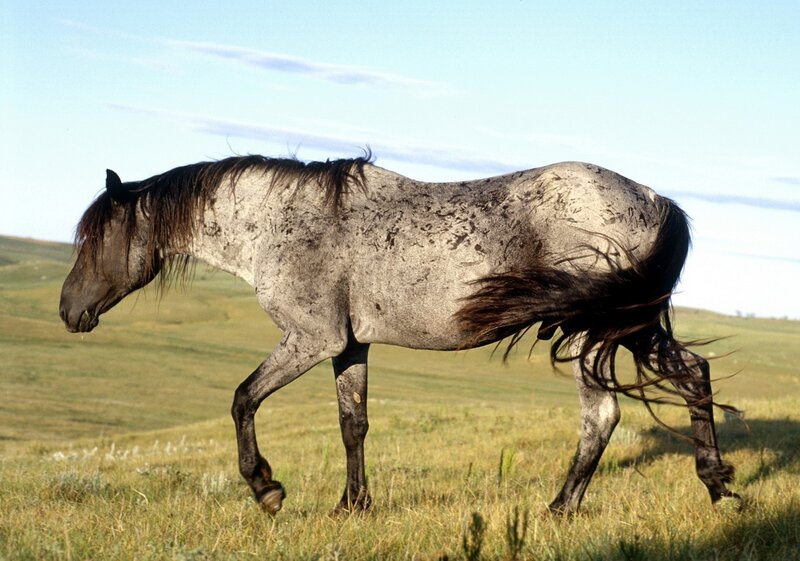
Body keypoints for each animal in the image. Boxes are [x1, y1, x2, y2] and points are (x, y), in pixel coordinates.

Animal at [59, 153, 739, 515]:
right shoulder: (349, 347)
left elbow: (243, 398)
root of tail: (657, 200)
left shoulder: (311, 341)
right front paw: (351, 505)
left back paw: (565, 508)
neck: (280, 223)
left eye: (95, 238)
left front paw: (267, 489)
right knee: (683, 380)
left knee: (606, 413)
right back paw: (712, 486)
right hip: (622, 329)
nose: (68, 311)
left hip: (595, 334)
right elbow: (352, 424)